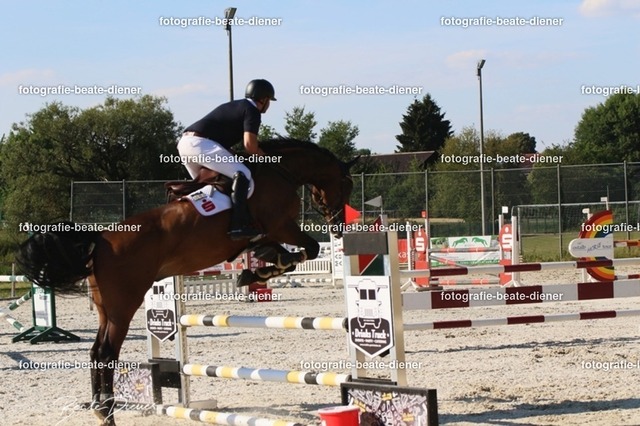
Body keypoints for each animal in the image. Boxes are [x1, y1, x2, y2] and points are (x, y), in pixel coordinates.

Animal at [16, 138, 357, 425]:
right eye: (347, 183)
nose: (338, 224)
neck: (280, 172)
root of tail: (99, 238)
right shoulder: (281, 226)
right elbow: (308, 249)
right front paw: (259, 271)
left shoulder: (270, 235)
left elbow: (278, 253)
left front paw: (253, 272)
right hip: (124, 306)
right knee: (106, 353)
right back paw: (106, 413)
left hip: (106, 309)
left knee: (95, 351)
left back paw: (101, 410)